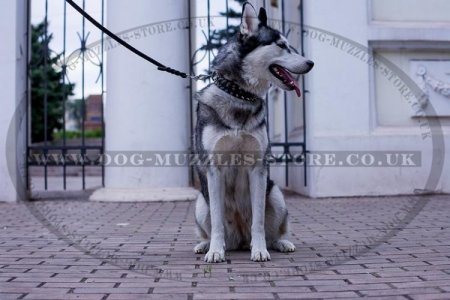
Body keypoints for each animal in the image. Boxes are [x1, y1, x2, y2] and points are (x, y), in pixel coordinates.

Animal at [192, 1, 312, 262]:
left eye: (289, 44)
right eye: (281, 46)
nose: (311, 63)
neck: (240, 95)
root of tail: (239, 241)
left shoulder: (257, 167)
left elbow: (258, 221)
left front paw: (260, 250)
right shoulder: (214, 169)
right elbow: (217, 221)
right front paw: (215, 251)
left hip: (275, 194)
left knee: (274, 232)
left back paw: (280, 243)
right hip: (200, 202)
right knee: (210, 227)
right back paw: (205, 245)